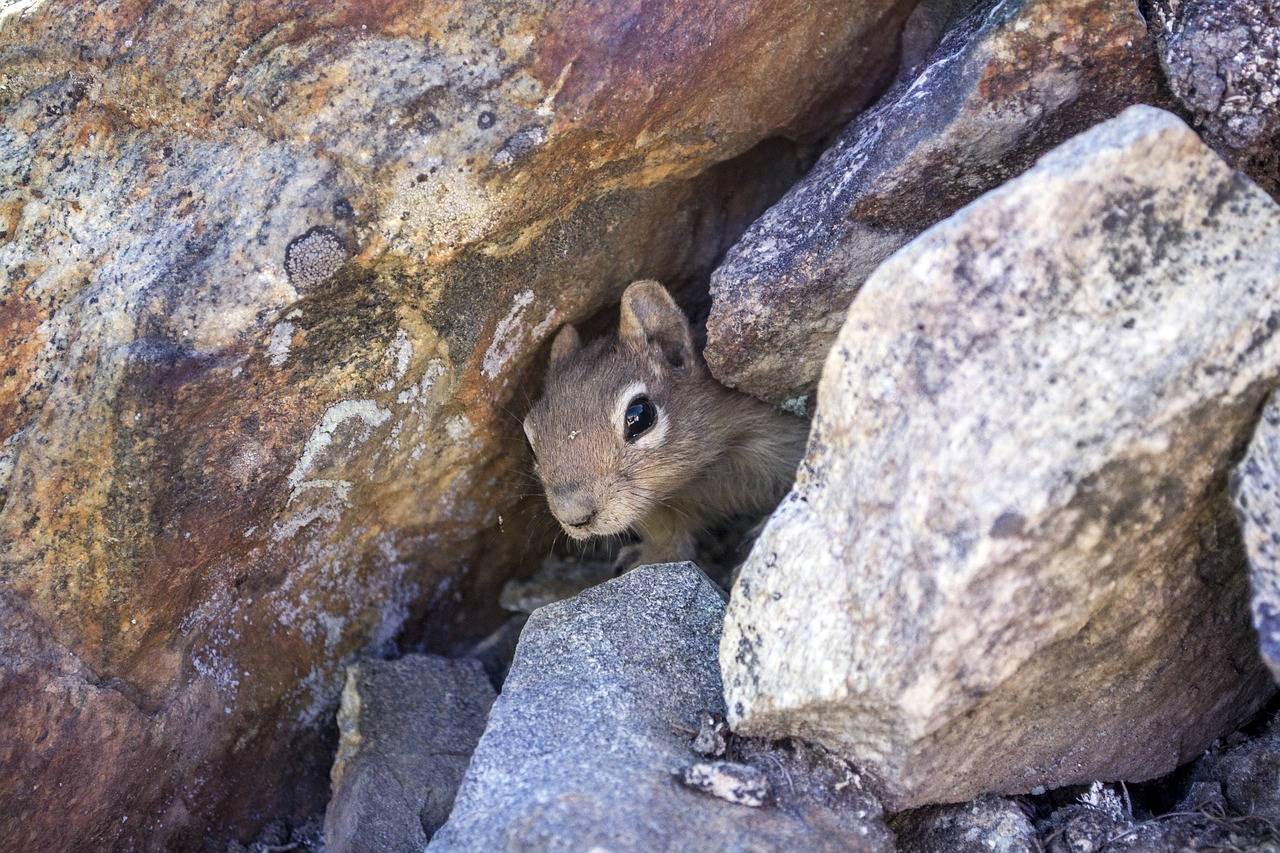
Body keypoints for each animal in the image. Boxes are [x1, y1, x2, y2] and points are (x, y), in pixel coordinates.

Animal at [522, 280, 810, 570]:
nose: (574, 516)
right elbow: (666, 537)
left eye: (639, 417)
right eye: (529, 443)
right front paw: (649, 559)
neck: (701, 475)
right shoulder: (655, 508)